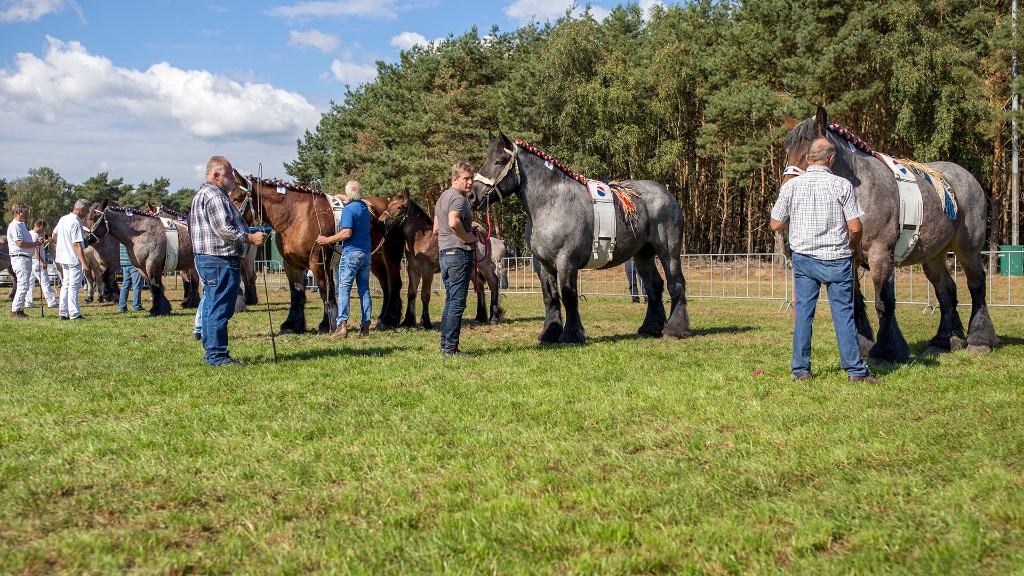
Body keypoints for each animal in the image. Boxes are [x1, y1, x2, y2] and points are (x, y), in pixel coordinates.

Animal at [380, 190, 503, 327]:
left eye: (399, 207)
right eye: (389, 205)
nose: (381, 221)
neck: (422, 240)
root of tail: (481, 230)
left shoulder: (427, 271)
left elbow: (425, 295)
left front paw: (425, 322)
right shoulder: (413, 270)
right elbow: (411, 294)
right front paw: (407, 321)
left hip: (484, 264)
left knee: (493, 281)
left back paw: (494, 317)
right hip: (470, 268)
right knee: (480, 284)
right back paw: (480, 317)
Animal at [468, 132, 692, 342]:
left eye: (499, 161)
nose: (472, 196)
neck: (551, 203)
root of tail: (667, 194)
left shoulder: (566, 261)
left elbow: (569, 297)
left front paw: (571, 335)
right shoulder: (542, 264)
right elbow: (550, 298)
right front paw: (549, 334)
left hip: (668, 251)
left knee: (676, 284)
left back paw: (675, 330)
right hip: (643, 253)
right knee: (654, 286)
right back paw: (650, 328)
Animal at [782, 106, 999, 358]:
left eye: (811, 153)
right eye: (788, 151)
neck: (860, 192)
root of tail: (967, 177)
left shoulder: (880, 254)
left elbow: (883, 301)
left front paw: (887, 350)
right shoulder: (849, 259)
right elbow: (855, 302)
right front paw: (863, 346)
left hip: (968, 249)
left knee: (977, 285)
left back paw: (979, 340)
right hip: (933, 256)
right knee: (946, 291)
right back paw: (945, 340)